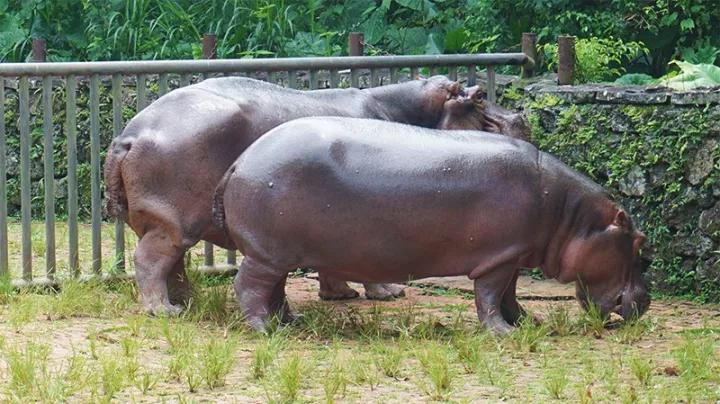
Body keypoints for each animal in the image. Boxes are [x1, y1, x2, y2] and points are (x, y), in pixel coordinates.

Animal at [104, 76, 530, 315]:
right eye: (479, 96)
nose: (522, 118)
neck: (409, 109)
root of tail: (129, 135)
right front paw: (388, 294)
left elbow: (334, 263)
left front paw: (339, 296)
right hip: (174, 223)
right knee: (150, 262)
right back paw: (164, 311)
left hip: (159, 222)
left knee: (171, 265)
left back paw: (186, 304)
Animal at [213, 117, 650, 334]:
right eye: (640, 243)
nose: (645, 302)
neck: (571, 216)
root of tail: (239, 161)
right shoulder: (498, 259)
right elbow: (489, 297)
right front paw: (504, 334)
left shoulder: (511, 255)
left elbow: (509, 296)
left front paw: (528, 323)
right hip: (266, 254)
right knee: (249, 288)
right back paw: (265, 330)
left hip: (278, 254)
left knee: (275, 291)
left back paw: (289, 322)